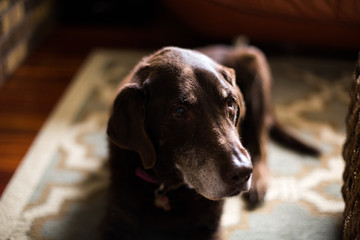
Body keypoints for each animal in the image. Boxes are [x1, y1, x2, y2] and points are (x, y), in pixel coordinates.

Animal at [101, 46, 318, 239]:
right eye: (179, 111)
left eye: (230, 103)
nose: (243, 172)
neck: (167, 185)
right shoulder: (116, 223)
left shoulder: (209, 227)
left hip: (255, 63)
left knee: (260, 145)